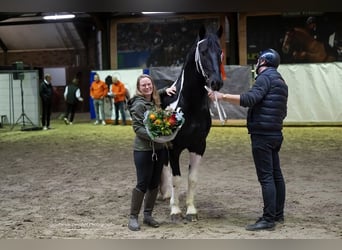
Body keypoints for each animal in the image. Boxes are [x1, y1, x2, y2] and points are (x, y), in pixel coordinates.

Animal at [160, 24, 224, 221]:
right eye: (203, 52)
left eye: (220, 51)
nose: (216, 82)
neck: (190, 105)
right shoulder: (174, 147)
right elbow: (176, 178)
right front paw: (175, 210)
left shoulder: (198, 146)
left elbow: (192, 179)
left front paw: (191, 210)